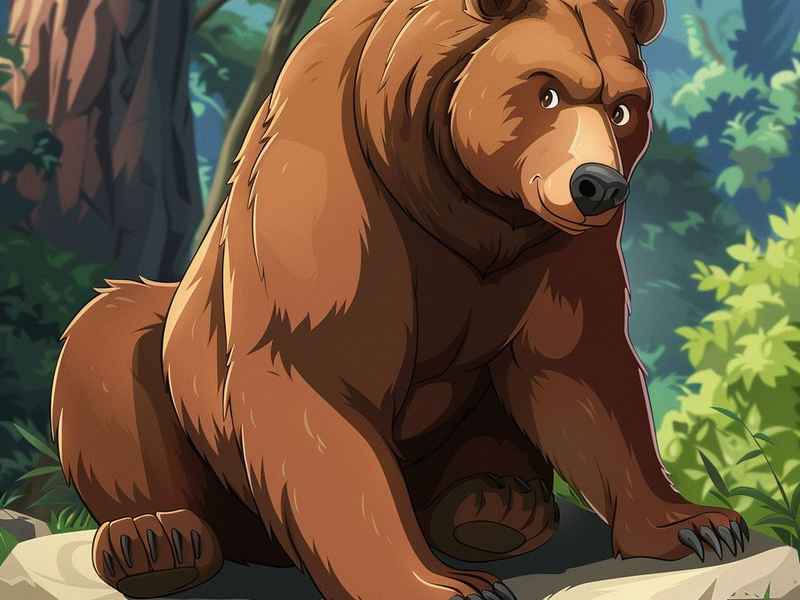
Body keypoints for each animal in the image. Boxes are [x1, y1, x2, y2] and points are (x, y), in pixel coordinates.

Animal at [51, 0, 749, 598]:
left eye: (625, 107)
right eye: (546, 89)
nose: (597, 184)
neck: (461, 199)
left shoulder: (554, 245)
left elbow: (581, 368)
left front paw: (699, 524)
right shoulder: (336, 190)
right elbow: (312, 377)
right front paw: (442, 585)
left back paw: (497, 506)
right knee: (110, 335)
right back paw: (155, 541)